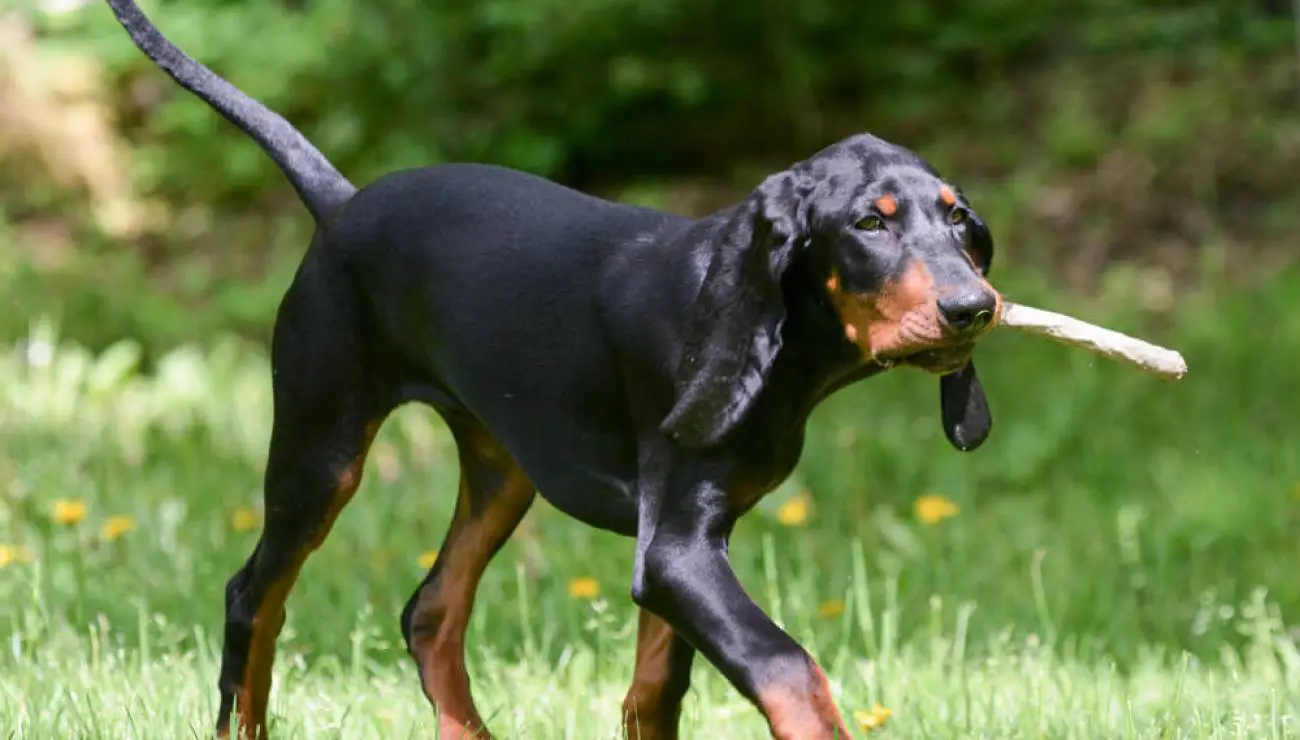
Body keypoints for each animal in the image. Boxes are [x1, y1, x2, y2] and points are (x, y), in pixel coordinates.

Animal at [109, 2, 1003, 733]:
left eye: (960, 220)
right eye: (869, 224)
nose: (973, 307)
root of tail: (341, 204)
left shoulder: (682, 545)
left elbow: (653, 693)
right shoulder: (677, 550)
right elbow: (790, 669)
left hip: (503, 467)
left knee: (430, 611)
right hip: (319, 447)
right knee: (254, 597)